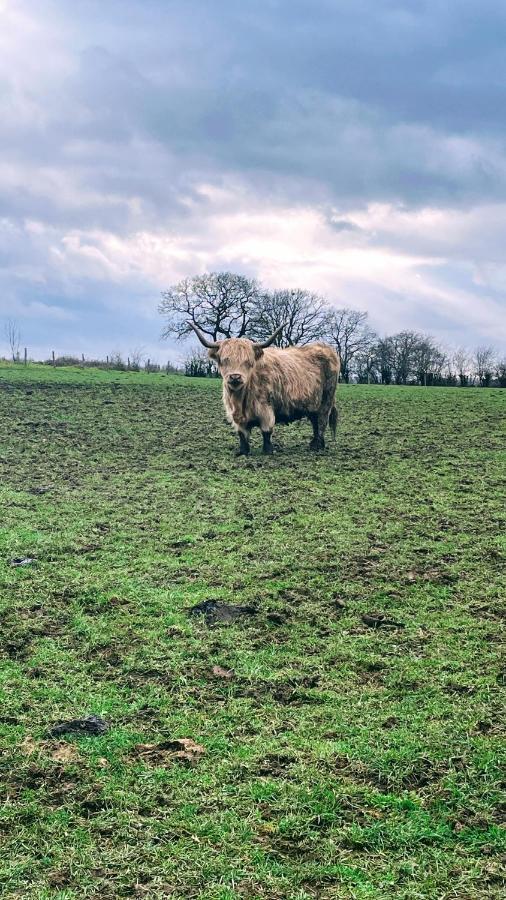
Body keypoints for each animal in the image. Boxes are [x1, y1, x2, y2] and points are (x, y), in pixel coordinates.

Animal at [188, 322, 338, 458]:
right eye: (225, 360)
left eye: (248, 362)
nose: (235, 377)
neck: (240, 400)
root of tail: (326, 347)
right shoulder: (236, 416)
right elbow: (242, 434)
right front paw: (243, 452)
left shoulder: (266, 409)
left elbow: (266, 431)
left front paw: (268, 451)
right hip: (312, 403)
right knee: (315, 421)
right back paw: (314, 444)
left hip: (326, 400)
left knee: (321, 421)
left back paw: (318, 446)